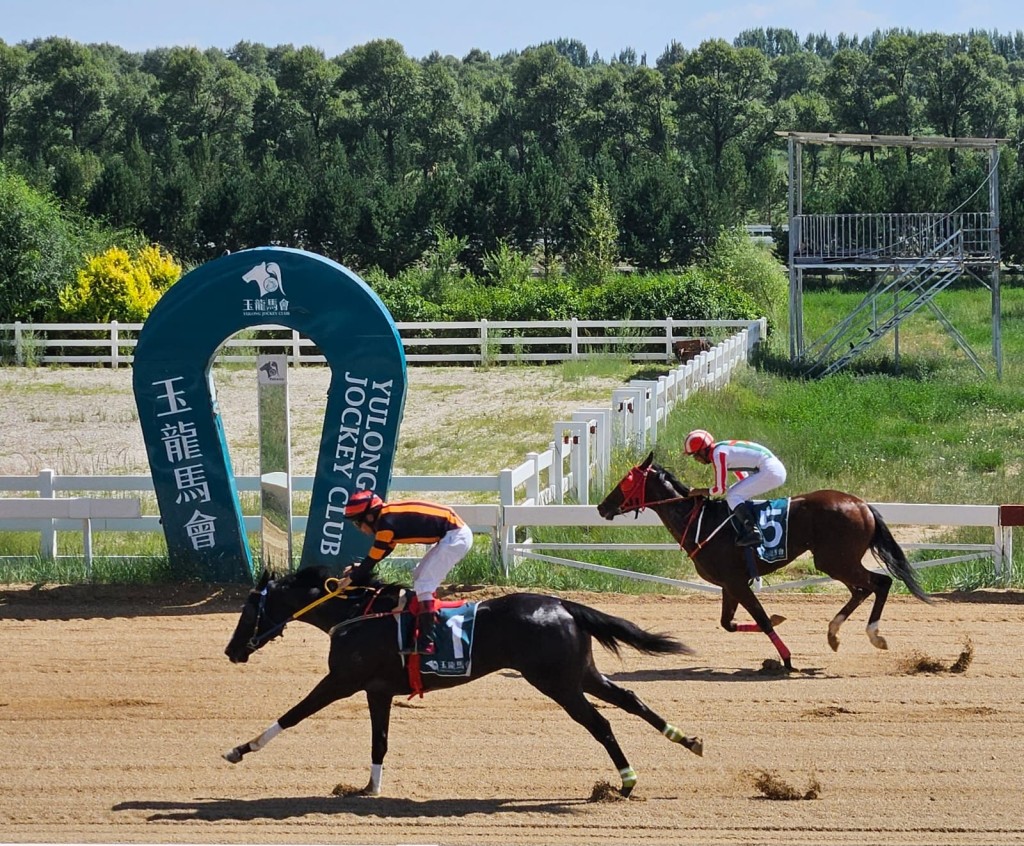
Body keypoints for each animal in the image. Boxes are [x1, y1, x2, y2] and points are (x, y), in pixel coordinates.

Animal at [224, 565, 704, 794]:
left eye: (249, 610)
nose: (231, 651)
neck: (357, 616)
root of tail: (563, 605)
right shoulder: (377, 690)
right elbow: (379, 742)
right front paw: (368, 788)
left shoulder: (342, 680)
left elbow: (293, 715)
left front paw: (238, 749)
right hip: (579, 672)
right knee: (630, 698)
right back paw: (687, 740)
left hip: (557, 683)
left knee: (600, 723)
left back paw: (625, 781)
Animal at [598, 450, 933, 667]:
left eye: (626, 480)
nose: (602, 507)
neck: (699, 523)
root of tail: (862, 504)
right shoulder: (729, 584)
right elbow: (728, 623)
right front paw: (777, 620)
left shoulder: (736, 581)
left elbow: (758, 616)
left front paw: (786, 659)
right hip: (837, 561)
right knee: (863, 590)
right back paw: (834, 633)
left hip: (836, 560)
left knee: (880, 583)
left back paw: (874, 635)